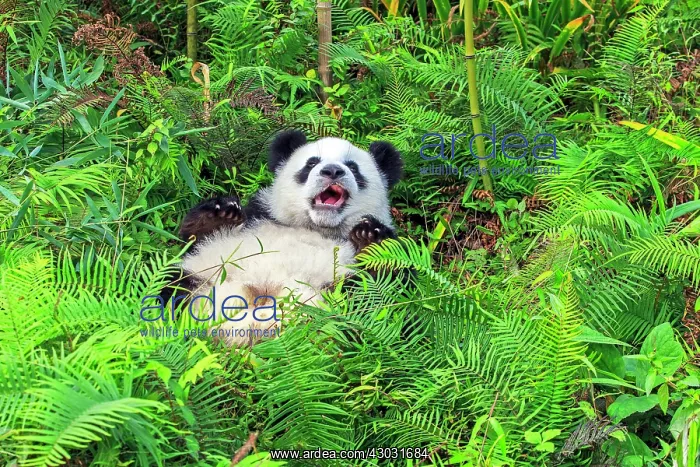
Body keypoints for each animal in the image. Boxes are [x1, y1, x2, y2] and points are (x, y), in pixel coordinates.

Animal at [167, 130, 403, 346]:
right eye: (311, 163)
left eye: (353, 167)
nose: (333, 171)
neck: (317, 227)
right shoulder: (258, 216)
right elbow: (194, 238)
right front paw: (219, 213)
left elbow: (393, 289)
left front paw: (370, 237)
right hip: (201, 278)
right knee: (170, 287)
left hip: (335, 295)